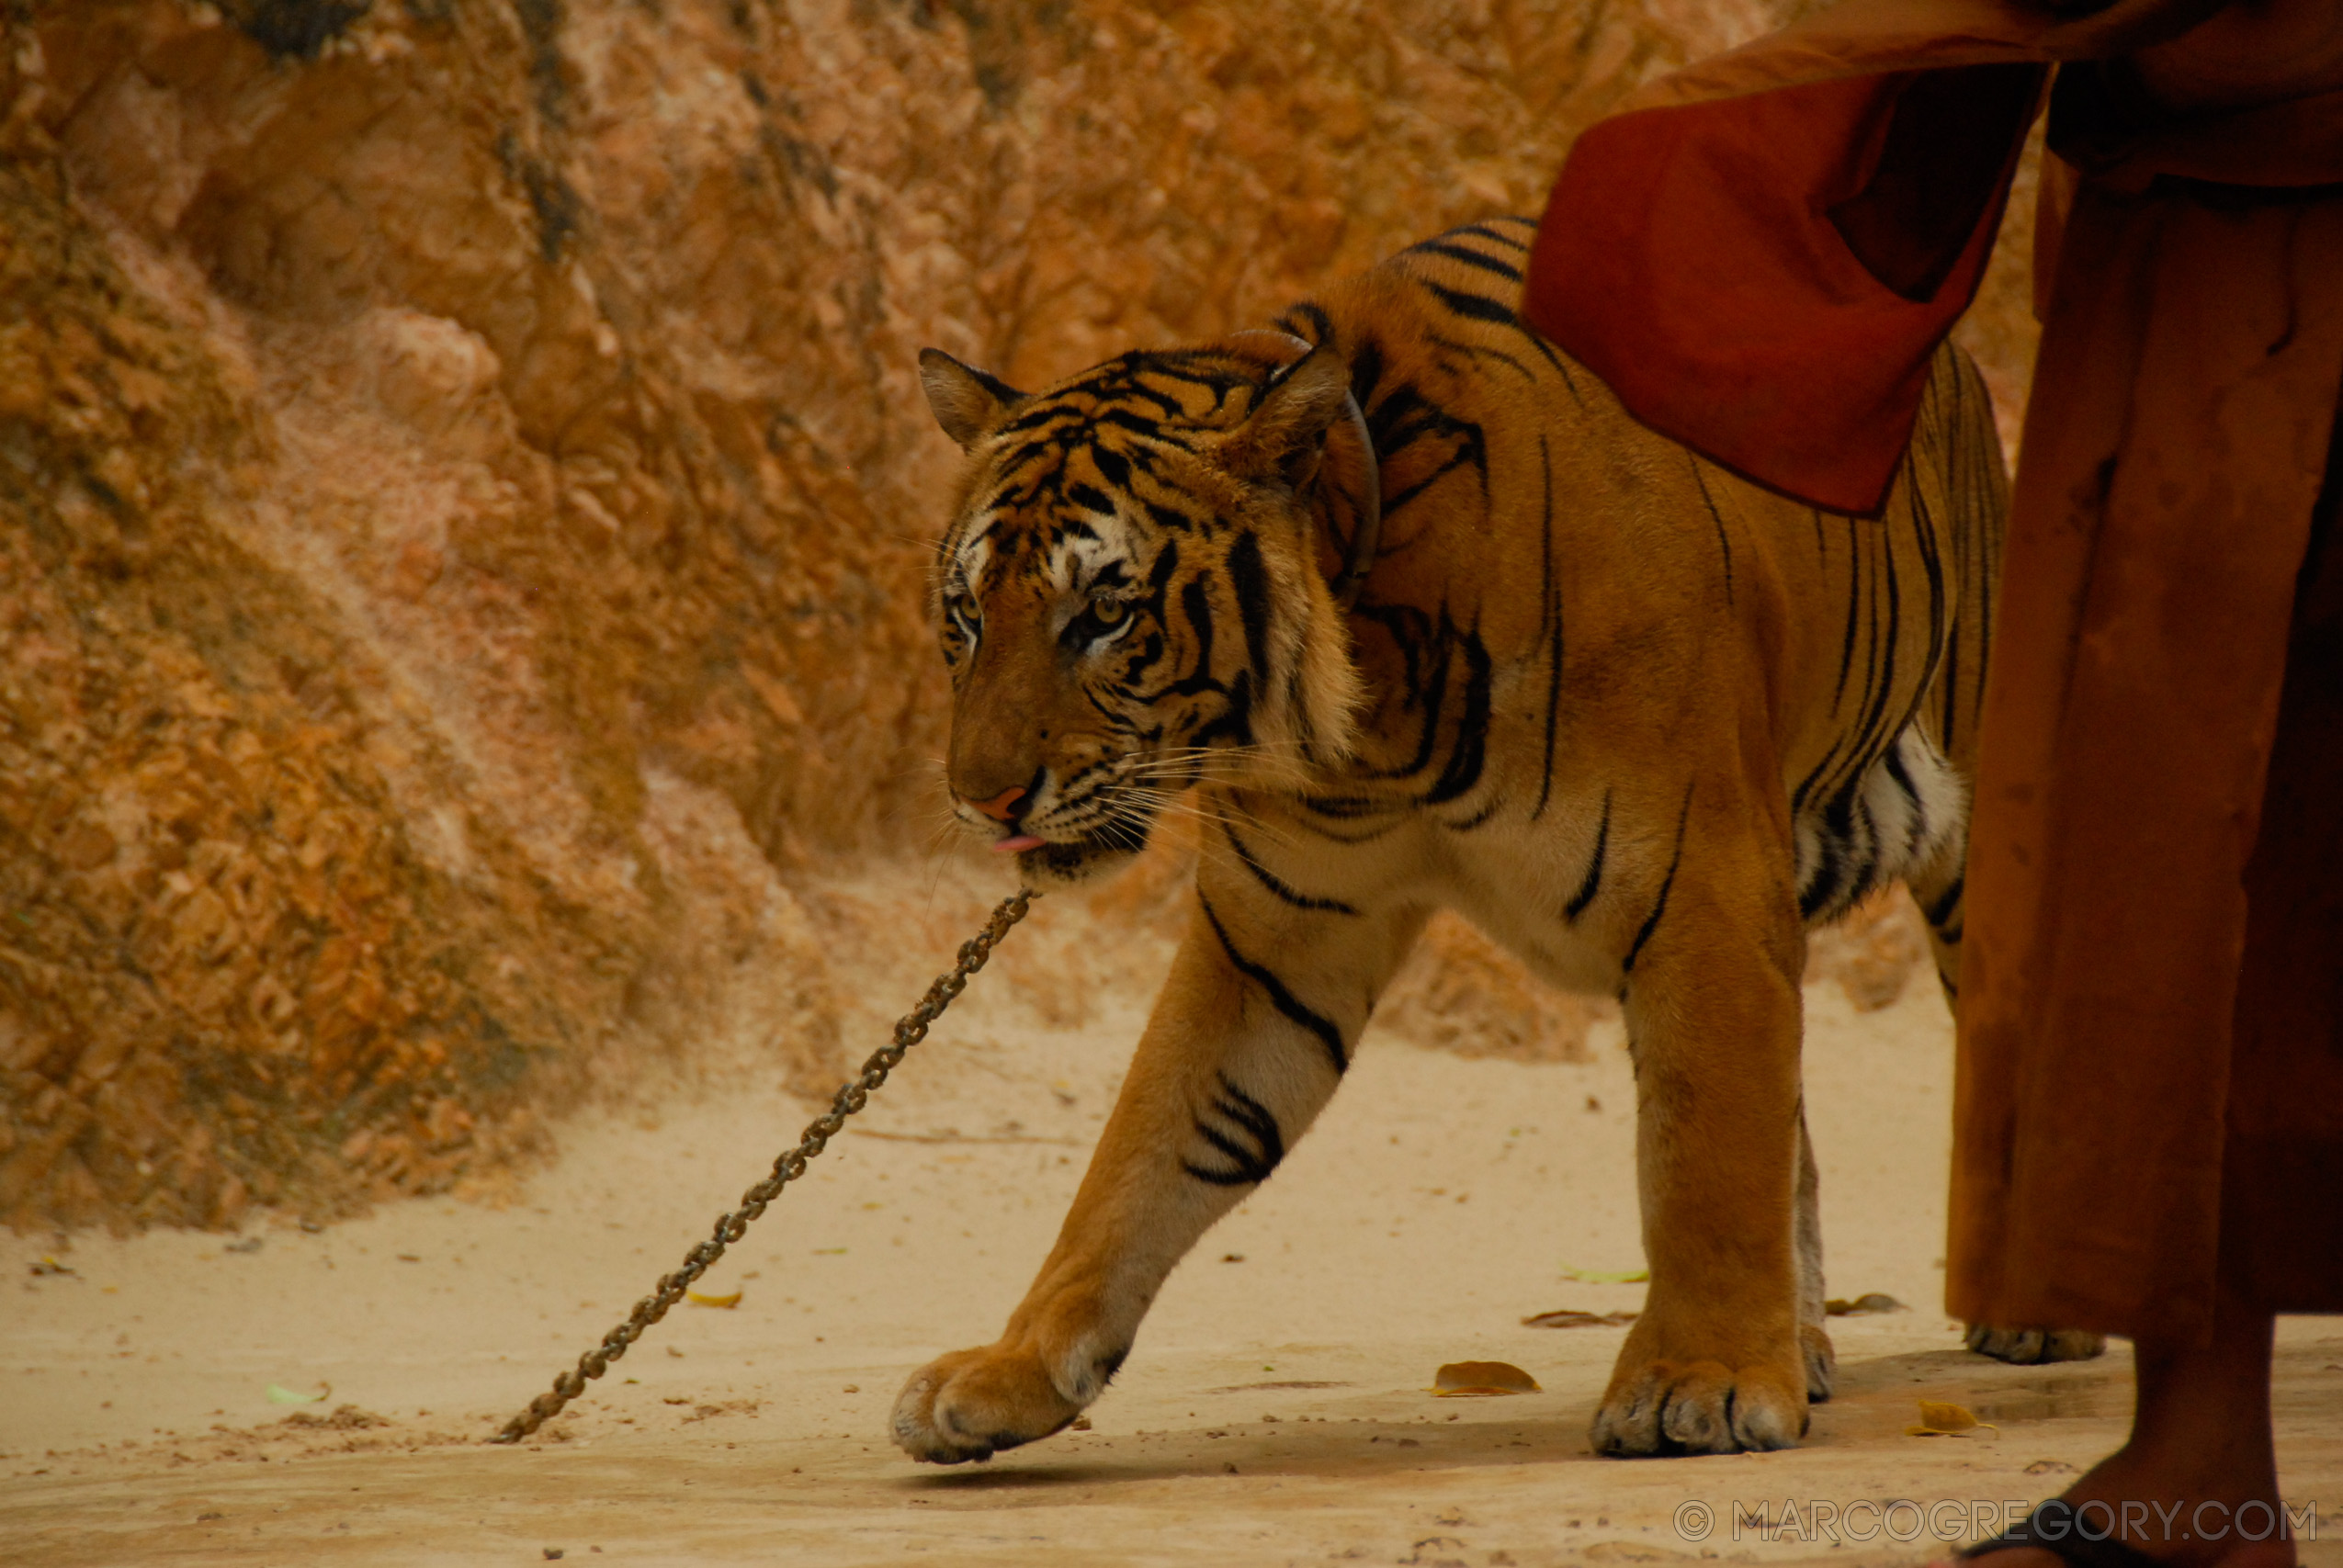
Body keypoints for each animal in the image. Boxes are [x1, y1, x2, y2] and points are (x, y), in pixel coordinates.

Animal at [885, 210, 2080, 1452]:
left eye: (1103, 614)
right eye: (966, 614)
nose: (983, 799)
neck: (1361, 717)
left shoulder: (1703, 892)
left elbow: (1705, 1150)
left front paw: (1699, 1381)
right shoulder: (1278, 939)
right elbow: (1147, 1149)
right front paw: (1011, 1372)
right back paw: (1797, 1343)